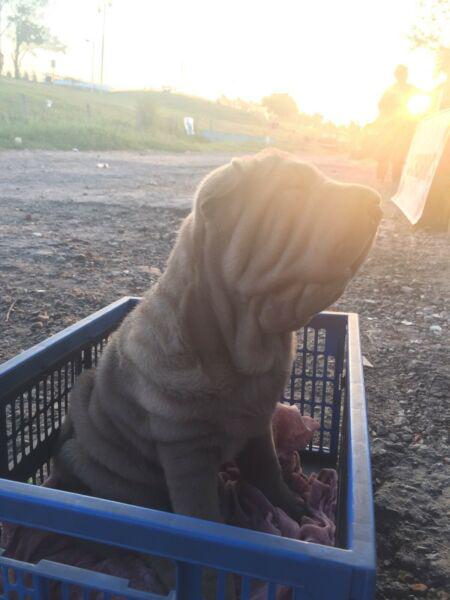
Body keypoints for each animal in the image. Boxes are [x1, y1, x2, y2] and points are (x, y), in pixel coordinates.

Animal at [54, 151, 382, 528]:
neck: (242, 352)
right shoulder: (186, 454)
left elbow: (269, 470)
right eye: (293, 190)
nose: (377, 201)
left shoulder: (259, 424)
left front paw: (294, 507)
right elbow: (201, 510)